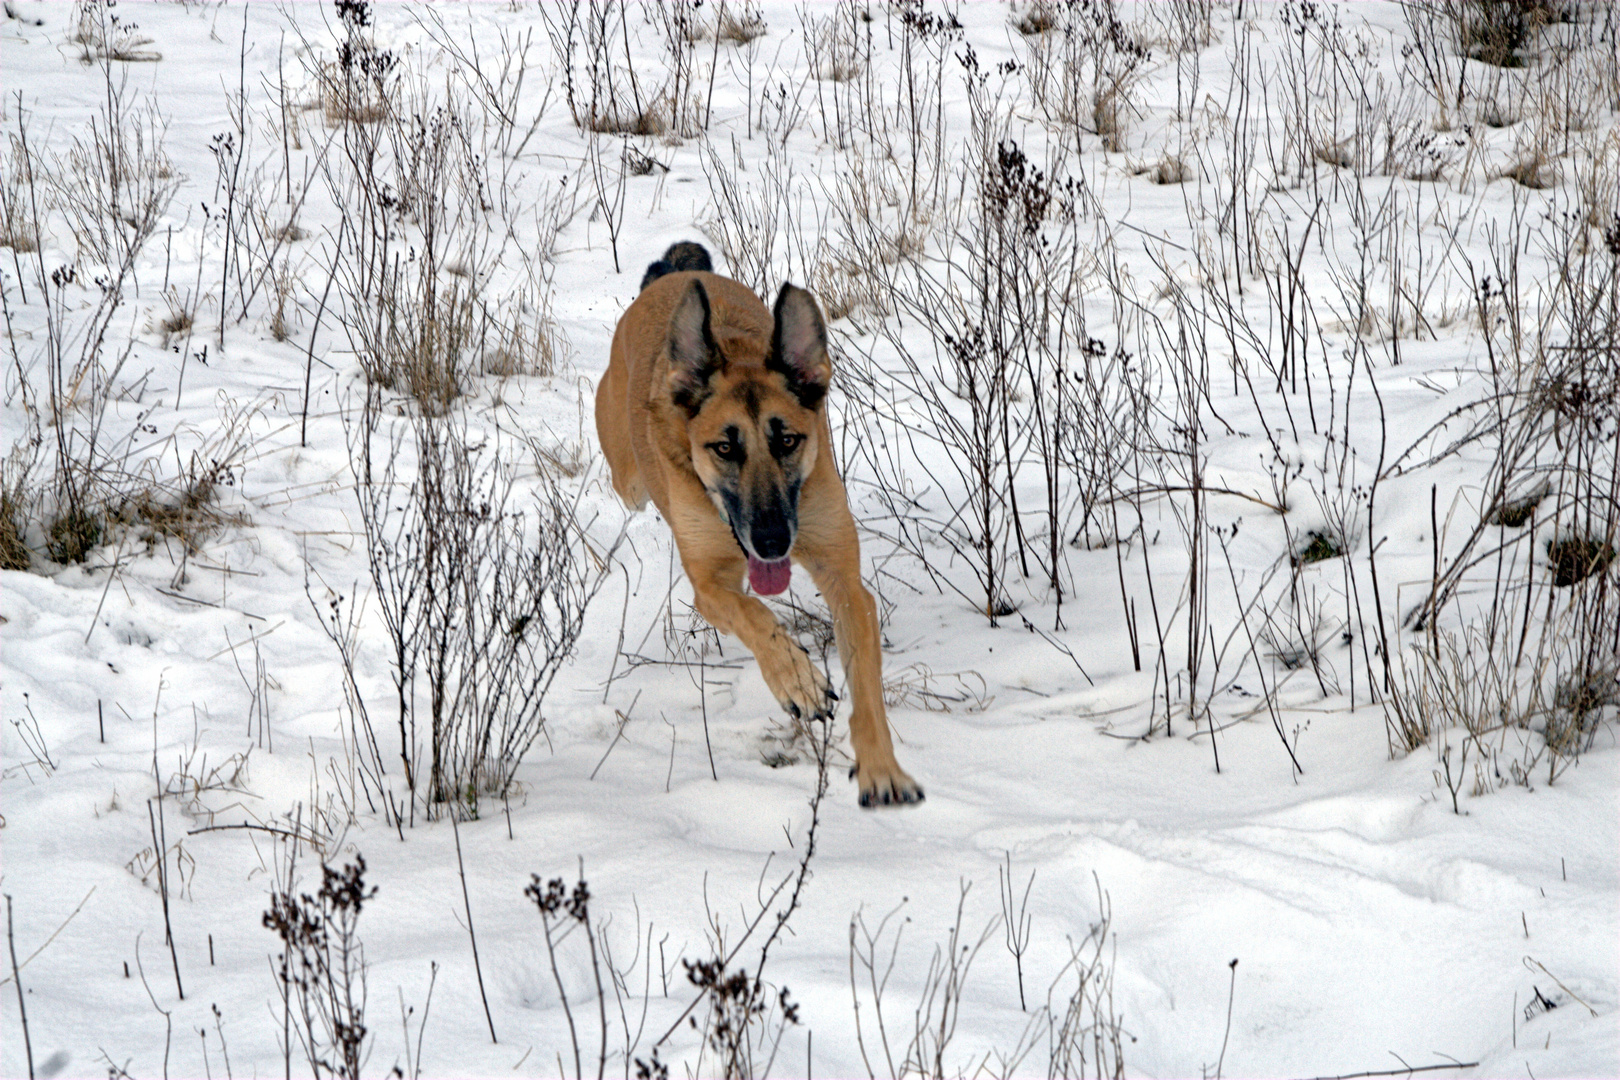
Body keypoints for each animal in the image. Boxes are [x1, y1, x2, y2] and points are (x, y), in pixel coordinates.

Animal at [596, 242, 926, 803]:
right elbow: (753, 614)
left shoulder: (844, 581)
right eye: (724, 448)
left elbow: (866, 689)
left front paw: (882, 769)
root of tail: (672, 277)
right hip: (628, 478)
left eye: (787, 440)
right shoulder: (710, 586)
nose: (772, 543)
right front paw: (797, 679)